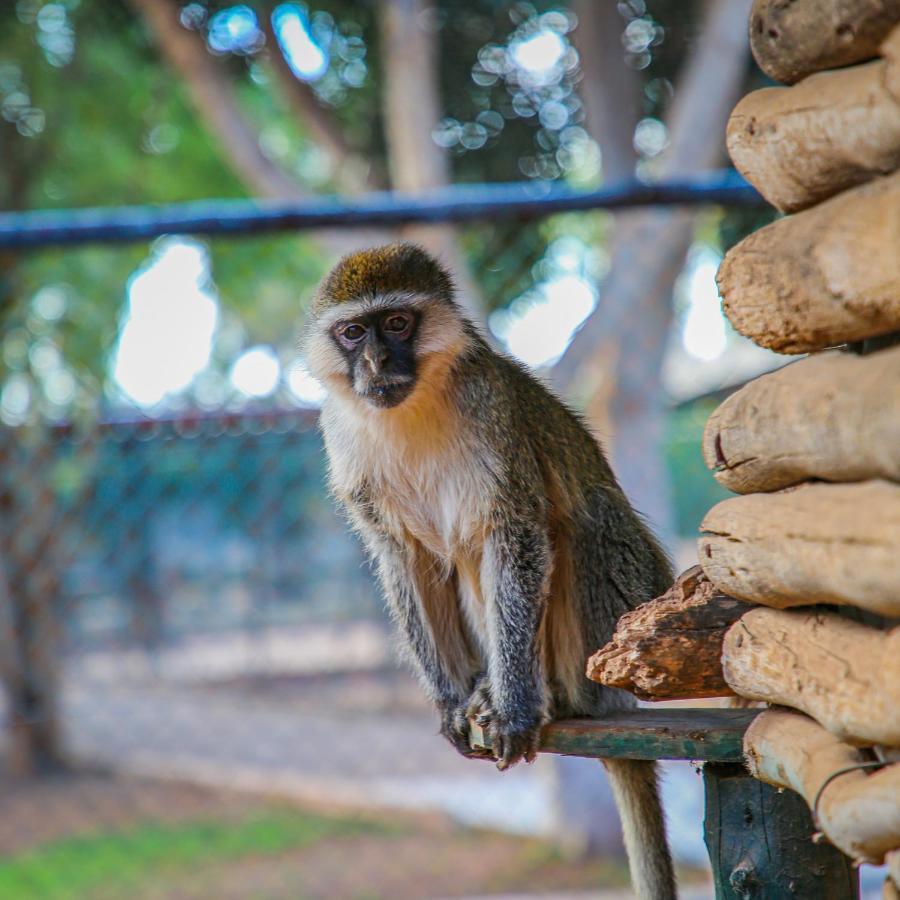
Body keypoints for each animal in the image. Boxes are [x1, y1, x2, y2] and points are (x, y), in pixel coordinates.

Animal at [302, 243, 676, 896]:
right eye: (352, 333)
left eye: (396, 323)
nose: (375, 361)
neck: (414, 408)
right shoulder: (343, 440)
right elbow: (406, 559)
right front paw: (451, 701)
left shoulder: (490, 413)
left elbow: (516, 534)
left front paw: (517, 708)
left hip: (626, 621)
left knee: (587, 520)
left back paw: (556, 695)